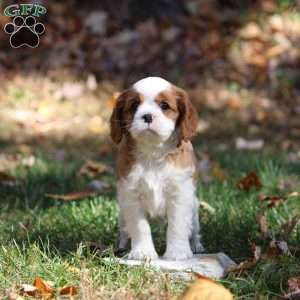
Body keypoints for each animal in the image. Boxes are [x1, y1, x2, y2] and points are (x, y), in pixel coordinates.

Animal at [110, 77, 204, 260]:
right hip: (122, 214)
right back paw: (122, 248)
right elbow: (140, 227)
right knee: (124, 231)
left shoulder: (180, 194)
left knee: (194, 229)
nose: (147, 116)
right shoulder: (131, 195)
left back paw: (196, 246)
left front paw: (177, 253)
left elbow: (177, 226)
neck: (152, 152)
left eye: (164, 106)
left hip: (194, 207)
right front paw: (142, 253)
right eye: (134, 105)